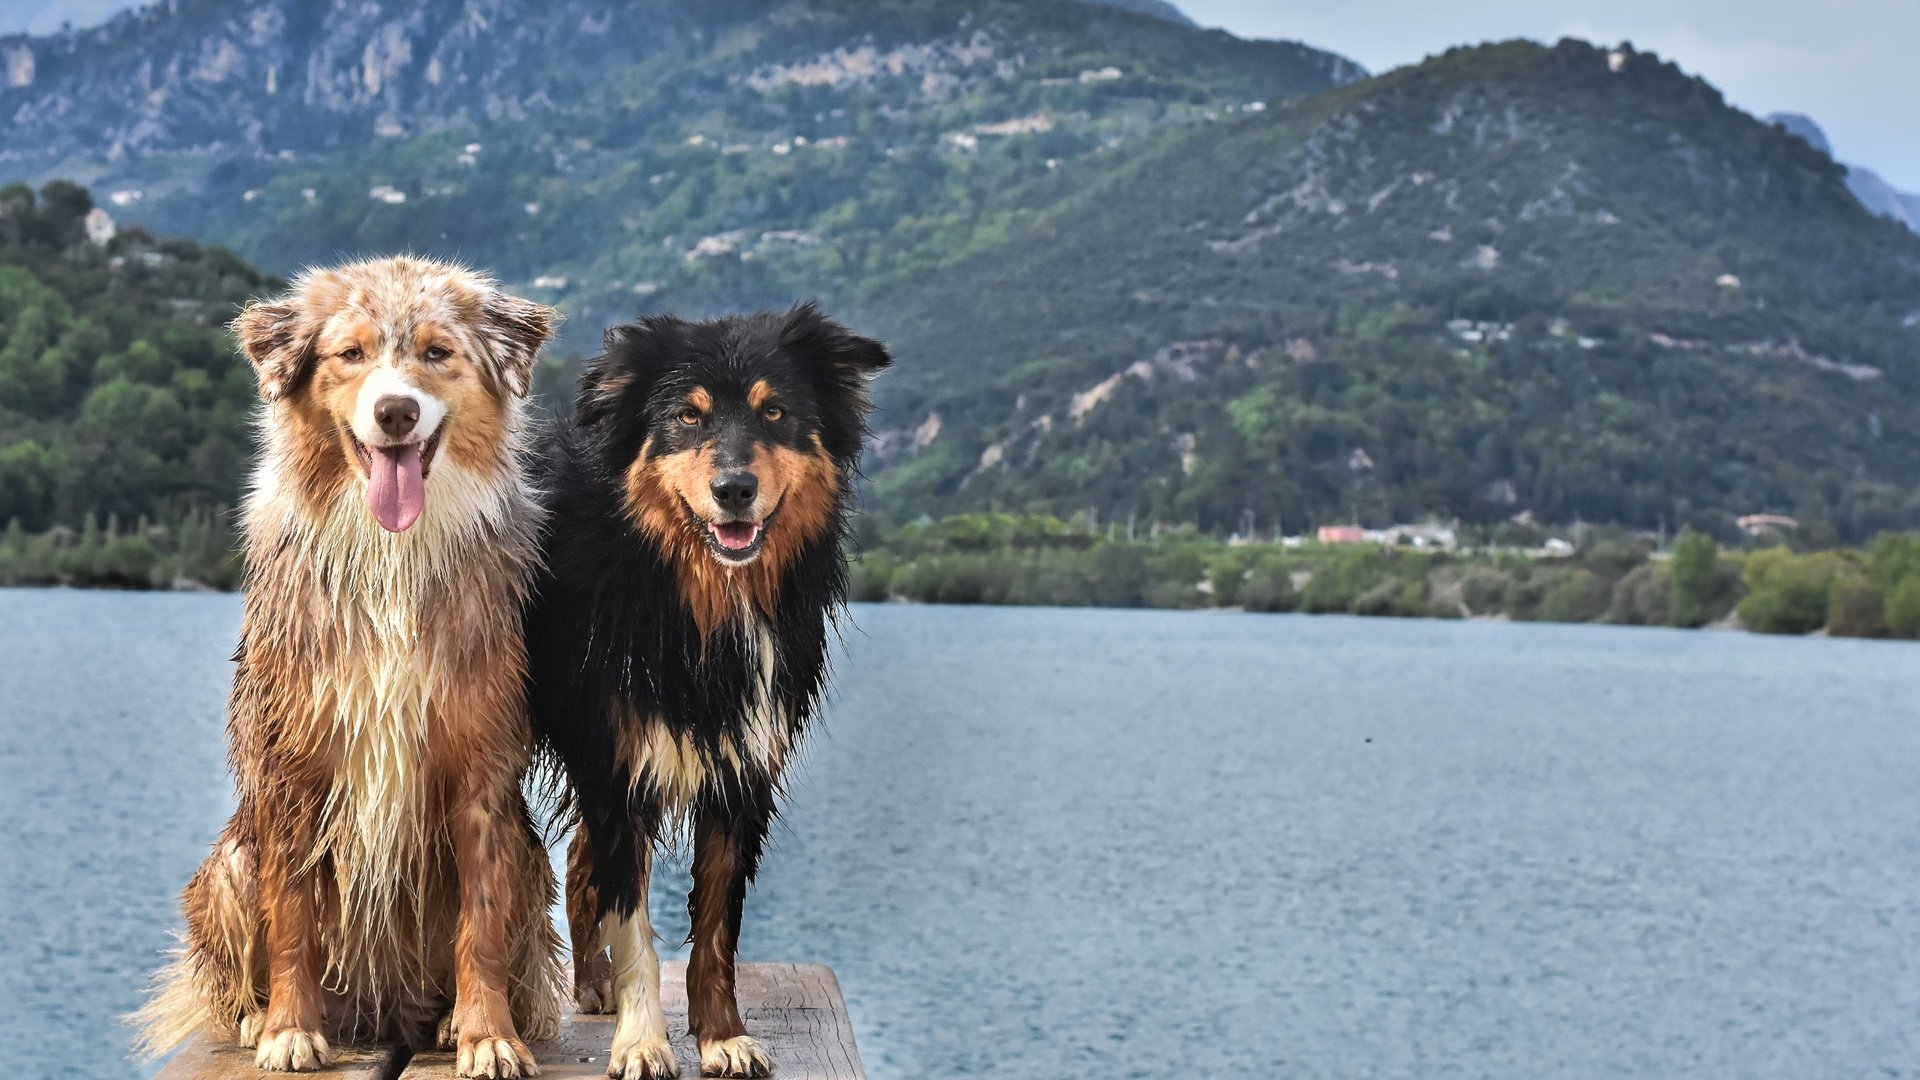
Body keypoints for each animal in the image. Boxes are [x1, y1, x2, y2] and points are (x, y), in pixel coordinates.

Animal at [135, 255, 560, 1068]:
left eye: (436, 352)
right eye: (351, 354)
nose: (395, 412)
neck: (391, 552)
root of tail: (380, 1009)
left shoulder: (483, 771)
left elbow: (481, 925)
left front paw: (487, 1036)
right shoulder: (292, 765)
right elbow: (293, 917)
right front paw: (289, 1029)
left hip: (530, 858)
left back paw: (450, 1020)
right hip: (228, 867)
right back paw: (257, 1017)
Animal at [522, 297, 887, 1068]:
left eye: (775, 412)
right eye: (688, 418)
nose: (734, 490)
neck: (697, 596)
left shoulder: (742, 768)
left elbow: (717, 926)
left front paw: (722, 1035)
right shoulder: (619, 761)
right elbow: (635, 920)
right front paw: (642, 1043)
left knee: (581, 856)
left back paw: (593, 982)